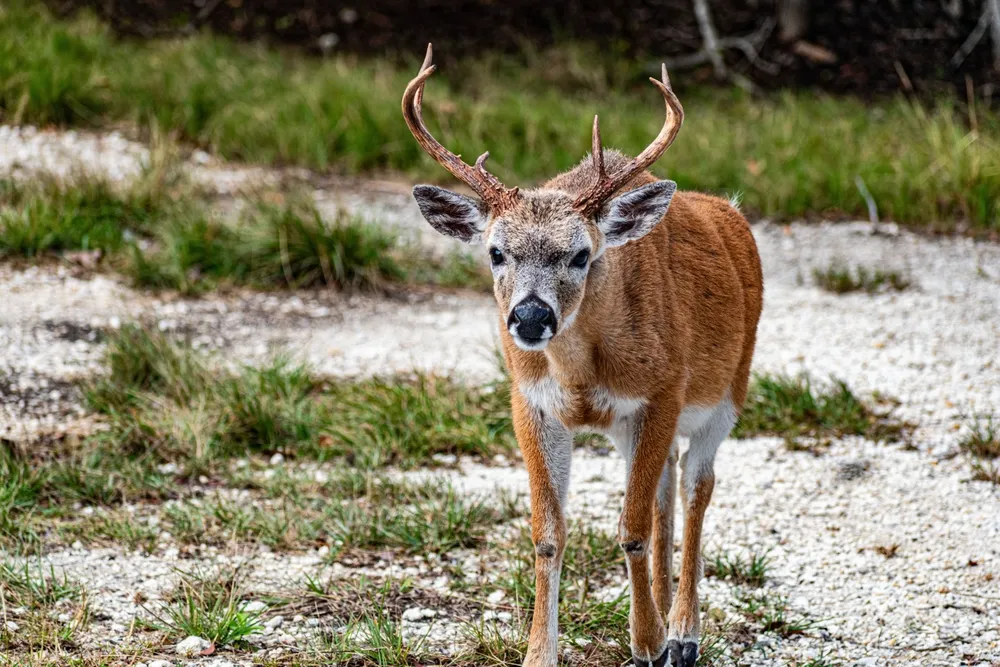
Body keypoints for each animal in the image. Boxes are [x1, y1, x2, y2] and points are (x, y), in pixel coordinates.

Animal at [402, 45, 763, 667]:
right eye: (495, 251)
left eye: (580, 255)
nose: (530, 317)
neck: (581, 372)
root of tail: (732, 214)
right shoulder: (531, 402)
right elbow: (549, 533)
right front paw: (539, 654)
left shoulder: (663, 390)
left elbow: (631, 527)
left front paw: (647, 643)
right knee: (666, 489)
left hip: (728, 393)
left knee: (696, 485)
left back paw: (683, 632)